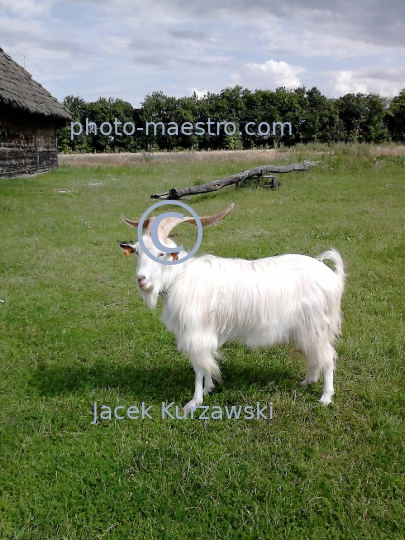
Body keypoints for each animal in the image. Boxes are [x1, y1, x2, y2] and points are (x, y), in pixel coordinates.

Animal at [120, 205, 344, 412]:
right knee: (316, 354)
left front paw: (194, 402)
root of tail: (334, 277)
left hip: (316, 323)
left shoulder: (196, 332)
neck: (180, 276)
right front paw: (209, 388)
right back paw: (307, 381)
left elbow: (199, 366)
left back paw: (326, 397)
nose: (141, 279)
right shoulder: (207, 333)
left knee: (327, 357)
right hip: (307, 327)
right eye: (137, 252)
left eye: (161, 253)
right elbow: (208, 361)